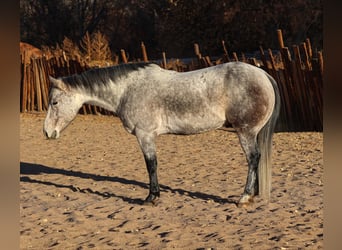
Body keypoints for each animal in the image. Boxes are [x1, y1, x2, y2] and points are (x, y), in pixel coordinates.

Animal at [43, 61, 280, 207]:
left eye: (54, 102)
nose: (47, 132)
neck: (127, 89)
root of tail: (263, 74)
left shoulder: (145, 135)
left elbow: (151, 165)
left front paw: (152, 197)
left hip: (245, 132)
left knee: (253, 158)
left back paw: (245, 197)